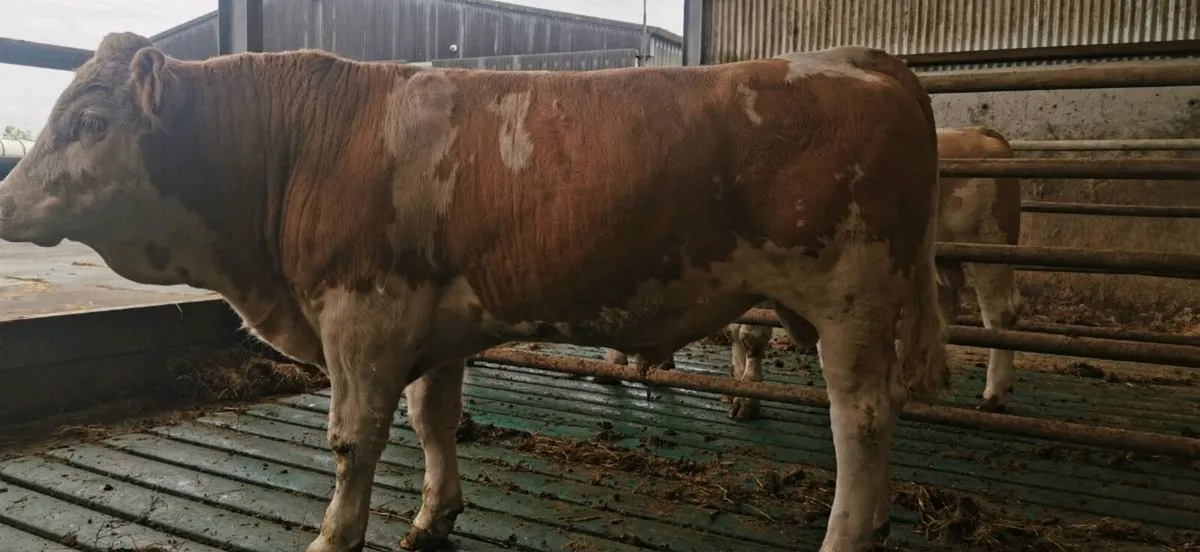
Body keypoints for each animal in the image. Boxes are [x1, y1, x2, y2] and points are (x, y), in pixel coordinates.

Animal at [0, 32, 947, 552]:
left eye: (90, 122)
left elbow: (352, 441)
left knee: (860, 424)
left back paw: (846, 533)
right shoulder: (432, 325)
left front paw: (335, 534)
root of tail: (866, 61)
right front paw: (433, 517)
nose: (5, 200)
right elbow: (434, 421)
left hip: (850, 298)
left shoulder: (361, 315)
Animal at [607, 126, 1024, 419]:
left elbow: (752, 334)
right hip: (940, 260)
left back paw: (993, 396)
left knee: (1001, 313)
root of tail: (980, 135)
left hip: (990, 243)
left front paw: (749, 395)